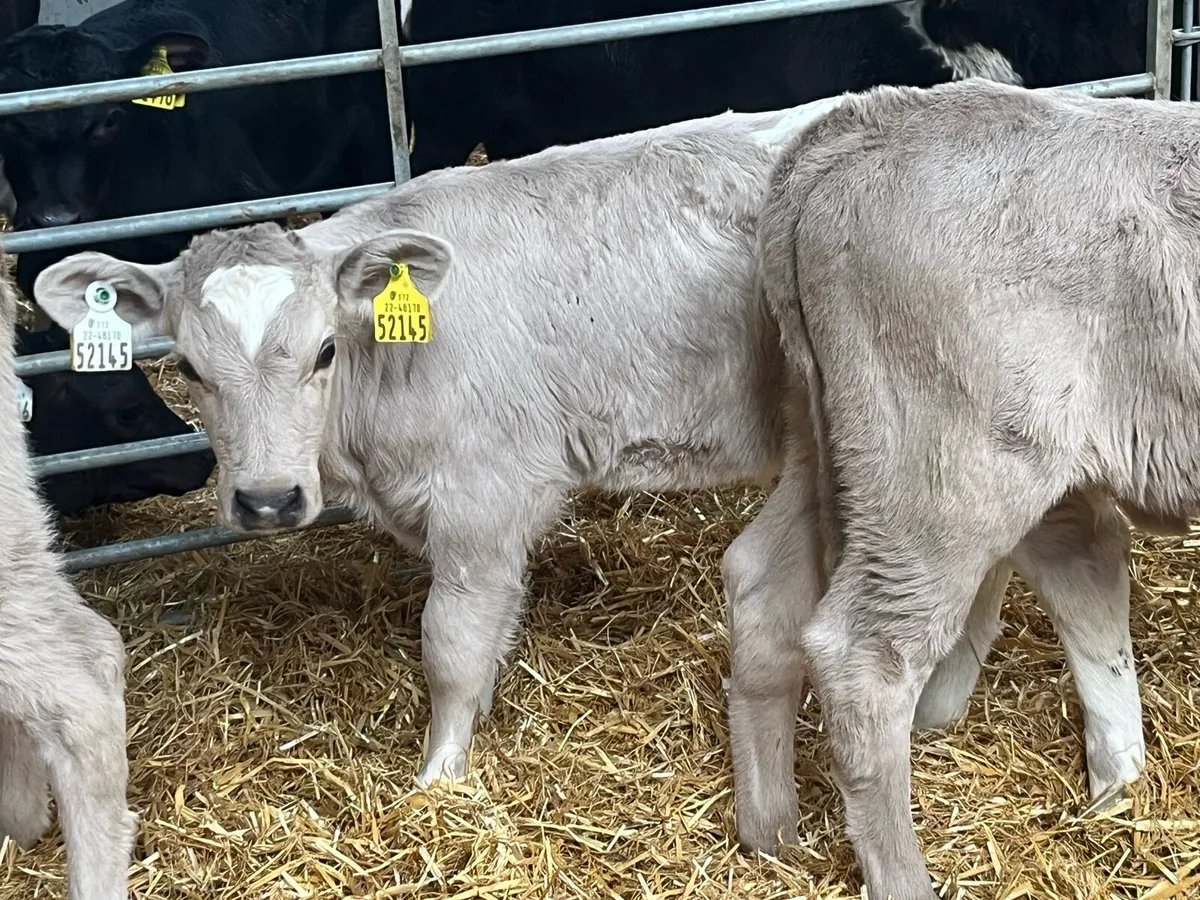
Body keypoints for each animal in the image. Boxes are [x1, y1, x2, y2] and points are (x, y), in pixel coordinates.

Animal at [32, 98, 1137, 814]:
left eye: (323, 352)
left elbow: (451, 646)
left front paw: (438, 779)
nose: (264, 501)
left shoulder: (486, 504)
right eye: (188, 367)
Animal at [746, 78, 1200, 898]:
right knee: (866, 655)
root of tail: (875, 120)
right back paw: (905, 878)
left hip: (835, 442)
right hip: (946, 476)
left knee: (764, 583)